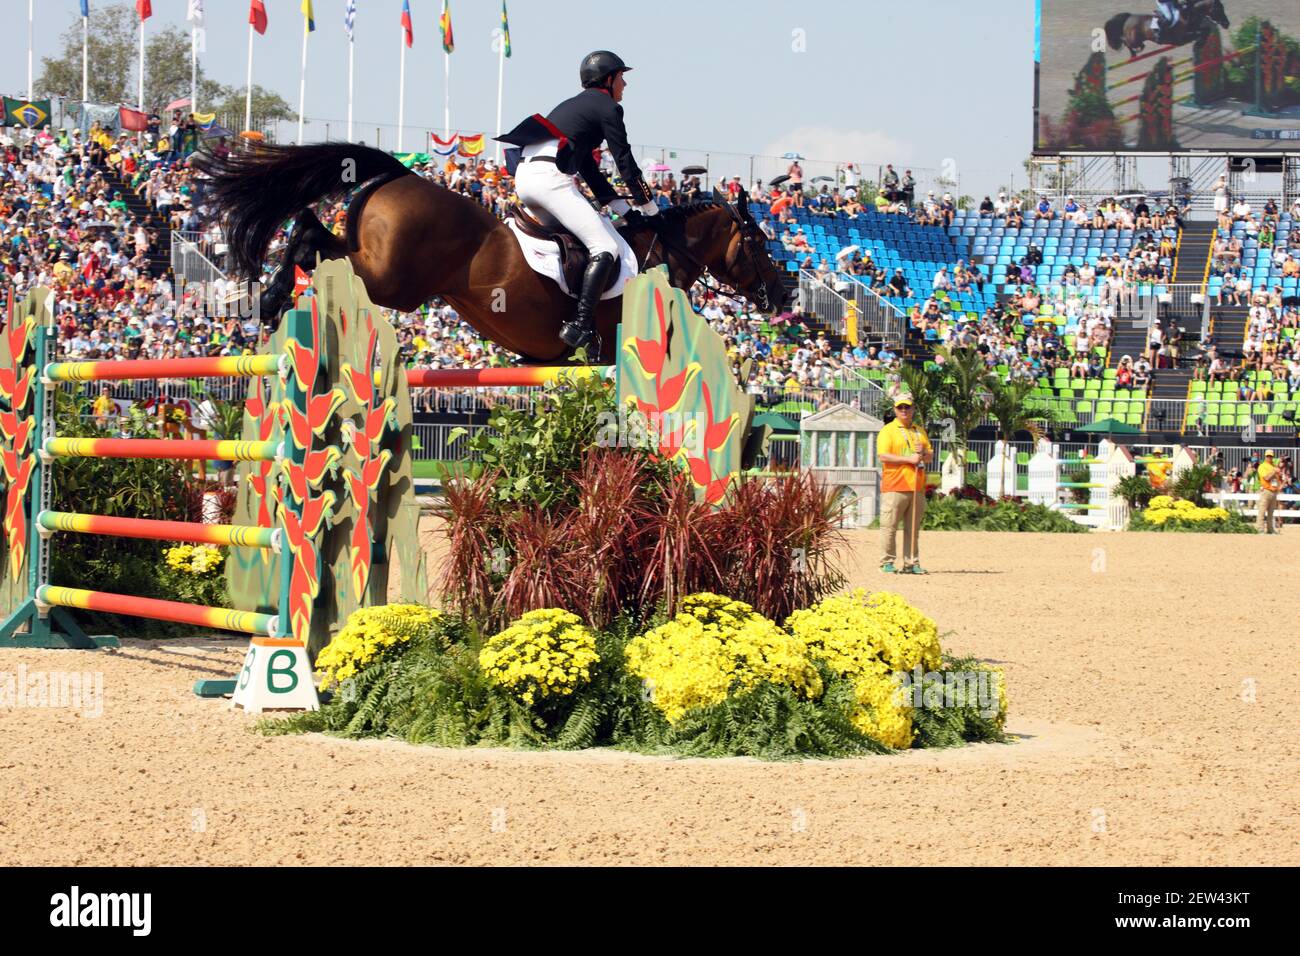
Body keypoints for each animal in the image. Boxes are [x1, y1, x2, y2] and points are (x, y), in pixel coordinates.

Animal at [191, 143, 780, 364]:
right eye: (757, 242)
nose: (782, 293)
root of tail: (401, 173)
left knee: (312, 232)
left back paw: (269, 299)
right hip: (394, 284)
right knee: (320, 247)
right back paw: (271, 297)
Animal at [1102, 0, 1232, 58]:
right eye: (1217, 9)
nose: (1226, 24)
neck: (1188, 15)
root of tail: (1129, 16)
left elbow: (1205, 30)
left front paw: (1200, 44)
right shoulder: (1181, 39)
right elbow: (1200, 32)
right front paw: (1200, 44)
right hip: (1133, 39)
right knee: (1125, 40)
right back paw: (1133, 53)